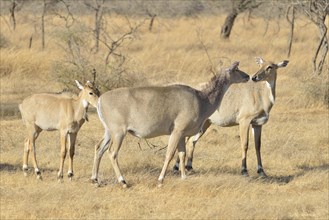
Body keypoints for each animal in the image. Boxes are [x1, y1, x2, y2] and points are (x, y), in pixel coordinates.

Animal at [89, 61, 249, 186]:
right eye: (236, 69)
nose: (248, 76)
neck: (201, 99)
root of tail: (100, 100)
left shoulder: (182, 135)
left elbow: (182, 154)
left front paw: (184, 177)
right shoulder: (177, 132)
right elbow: (170, 154)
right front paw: (160, 179)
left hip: (109, 132)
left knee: (99, 148)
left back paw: (95, 179)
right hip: (118, 133)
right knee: (112, 153)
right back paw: (123, 181)